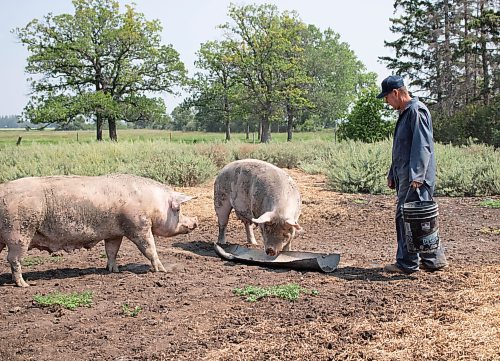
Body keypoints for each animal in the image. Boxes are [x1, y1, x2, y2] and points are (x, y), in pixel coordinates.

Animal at [0, 173, 198, 286]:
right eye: (178, 209)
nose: (195, 222)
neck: (153, 203)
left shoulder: (114, 234)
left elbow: (111, 251)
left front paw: (113, 270)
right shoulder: (138, 226)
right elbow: (149, 248)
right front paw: (162, 270)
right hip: (19, 233)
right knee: (14, 259)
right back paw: (23, 285)